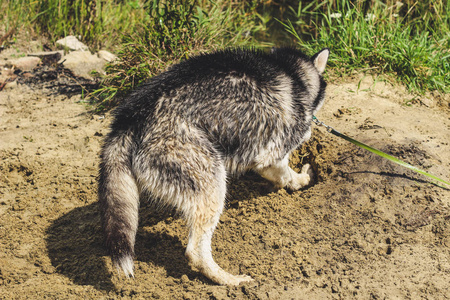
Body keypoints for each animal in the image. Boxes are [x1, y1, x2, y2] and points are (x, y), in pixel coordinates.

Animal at [98, 47, 330, 286]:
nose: (311, 130)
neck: (293, 74)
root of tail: (131, 119)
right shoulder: (271, 156)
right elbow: (287, 176)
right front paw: (303, 178)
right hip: (213, 186)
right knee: (195, 252)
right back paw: (229, 280)